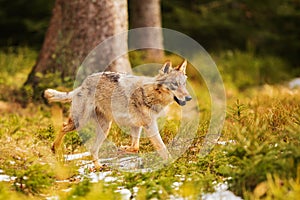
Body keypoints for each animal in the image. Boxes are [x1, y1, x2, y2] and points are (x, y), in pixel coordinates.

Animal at [43, 59, 191, 169]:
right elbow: (162, 148)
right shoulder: (150, 126)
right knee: (63, 127)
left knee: (93, 149)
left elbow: (135, 147)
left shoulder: (137, 125)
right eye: (174, 84)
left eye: (184, 84)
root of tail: (81, 86)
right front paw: (172, 164)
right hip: (79, 123)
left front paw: (123, 148)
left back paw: (99, 167)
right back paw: (54, 148)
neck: (149, 94)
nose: (189, 98)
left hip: (105, 129)